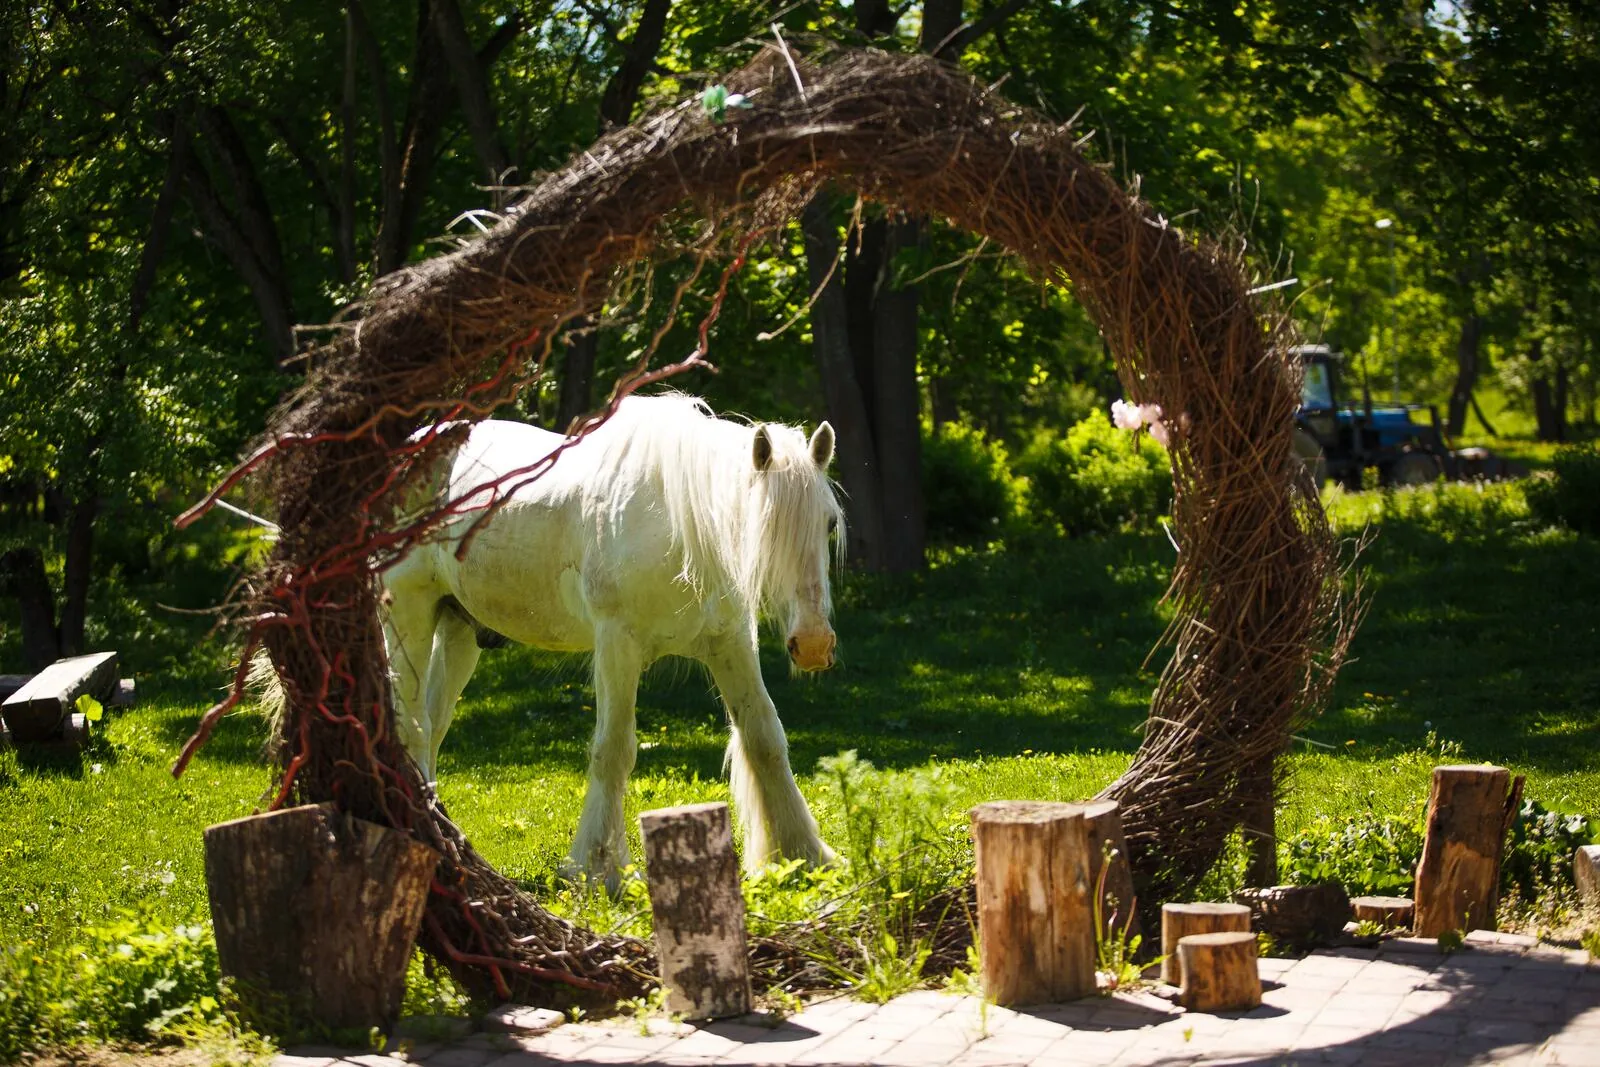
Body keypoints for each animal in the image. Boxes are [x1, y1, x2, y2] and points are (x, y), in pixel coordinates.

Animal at [380, 393, 843, 888]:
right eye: (764, 525)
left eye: (829, 524)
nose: (813, 644)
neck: (681, 528)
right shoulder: (618, 645)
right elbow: (614, 750)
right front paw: (600, 868)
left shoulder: (730, 643)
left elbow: (765, 739)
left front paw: (804, 854)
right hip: (407, 613)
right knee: (413, 726)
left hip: (458, 628)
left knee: (434, 723)